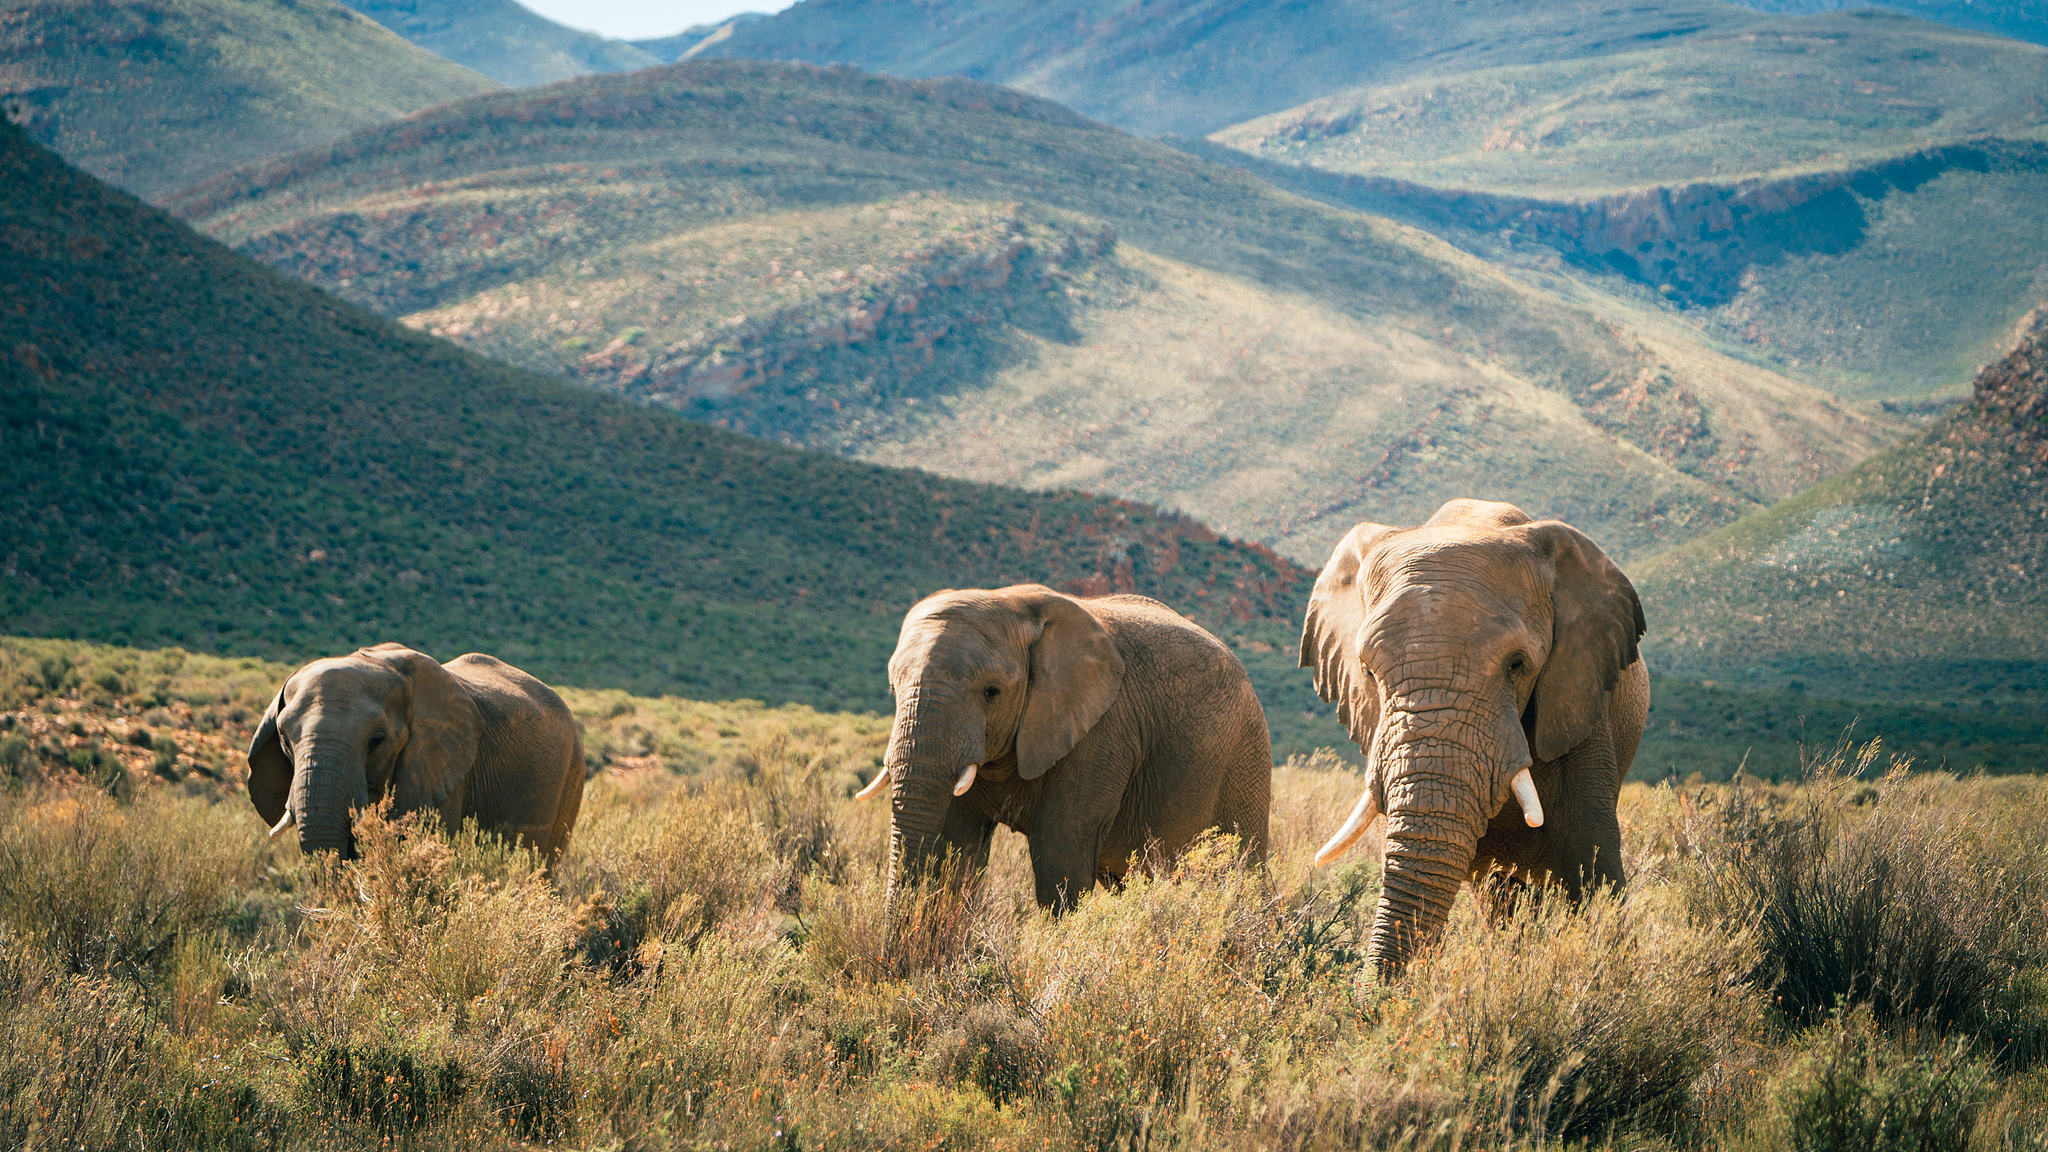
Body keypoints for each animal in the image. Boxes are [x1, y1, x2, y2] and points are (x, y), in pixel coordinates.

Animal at [861, 584, 1272, 916]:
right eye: (893, 689)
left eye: (992, 692)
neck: (1013, 604)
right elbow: (954, 846)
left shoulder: (1103, 731)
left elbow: (1060, 852)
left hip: (1243, 753)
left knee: (1240, 866)